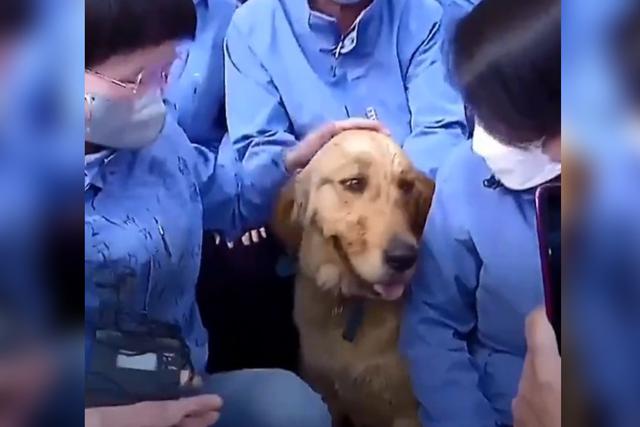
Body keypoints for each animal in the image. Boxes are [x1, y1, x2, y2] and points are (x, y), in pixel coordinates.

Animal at [276, 130, 436, 427]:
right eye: (354, 183)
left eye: (406, 186)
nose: (404, 258)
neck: (350, 303)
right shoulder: (325, 391)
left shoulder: (407, 412)